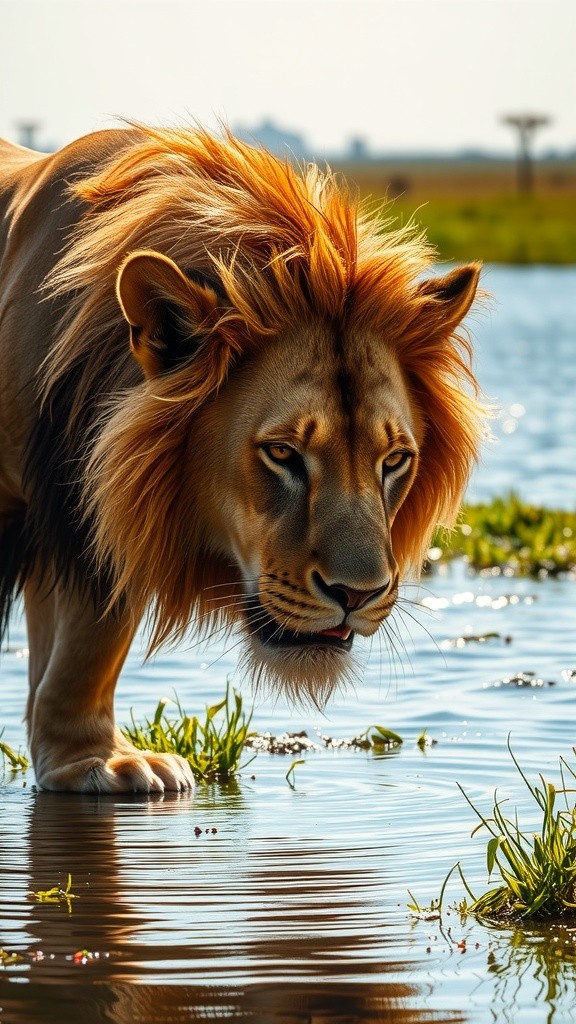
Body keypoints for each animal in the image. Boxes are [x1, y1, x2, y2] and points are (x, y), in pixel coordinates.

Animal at [0, 125, 484, 793]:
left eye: (393, 461)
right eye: (283, 453)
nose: (356, 595)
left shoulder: (92, 516)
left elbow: (89, 644)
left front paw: (87, 759)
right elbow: (86, 643)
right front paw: (97, 763)